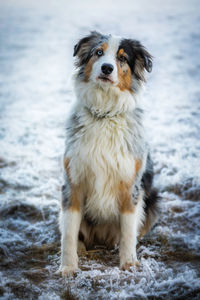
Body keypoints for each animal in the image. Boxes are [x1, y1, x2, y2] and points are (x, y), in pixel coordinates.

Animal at [57, 31, 159, 276]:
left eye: (122, 58)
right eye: (98, 52)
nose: (106, 68)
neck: (104, 114)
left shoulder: (131, 185)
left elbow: (129, 231)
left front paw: (129, 264)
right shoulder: (73, 182)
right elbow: (69, 233)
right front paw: (68, 267)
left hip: (152, 201)